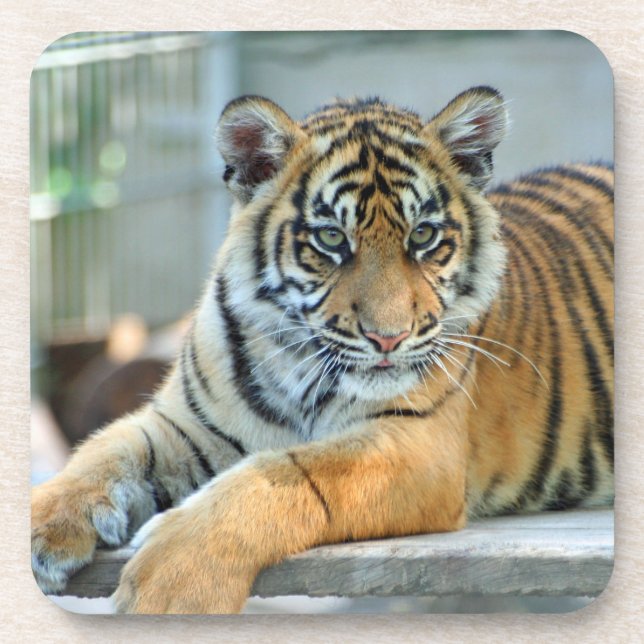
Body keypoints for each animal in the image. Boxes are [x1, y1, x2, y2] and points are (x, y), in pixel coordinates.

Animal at [31, 86, 614, 614]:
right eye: (331, 239)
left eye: (423, 236)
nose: (389, 337)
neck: (296, 364)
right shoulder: (186, 425)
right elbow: (104, 453)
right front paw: (42, 524)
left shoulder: (418, 444)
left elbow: (288, 474)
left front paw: (171, 585)